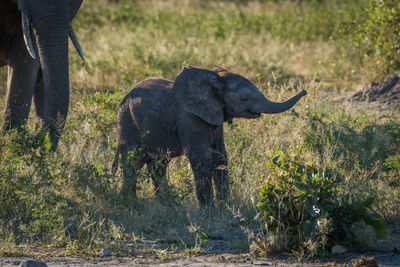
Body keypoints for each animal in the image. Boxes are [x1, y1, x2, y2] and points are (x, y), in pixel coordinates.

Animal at [112, 66, 306, 207]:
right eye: (244, 99)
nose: (304, 91)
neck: (213, 79)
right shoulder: (189, 118)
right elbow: (202, 158)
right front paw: (208, 210)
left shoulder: (215, 116)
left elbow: (220, 156)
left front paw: (225, 208)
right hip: (127, 121)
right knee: (132, 162)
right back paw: (130, 204)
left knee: (158, 166)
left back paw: (169, 206)